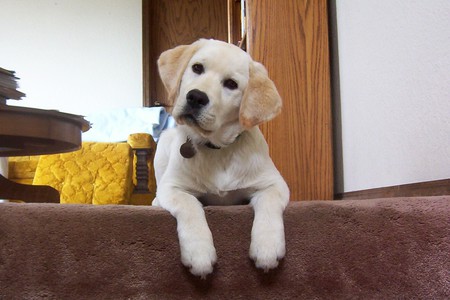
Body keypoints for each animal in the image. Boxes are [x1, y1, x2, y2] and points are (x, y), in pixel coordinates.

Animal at [153, 38, 290, 278]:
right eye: (197, 68)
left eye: (231, 84)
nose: (196, 97)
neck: (217, 148)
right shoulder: (172, 187)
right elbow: (190, 205)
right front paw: (199, 253)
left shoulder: (274, 184)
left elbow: (269, 202)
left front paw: (267, 247)